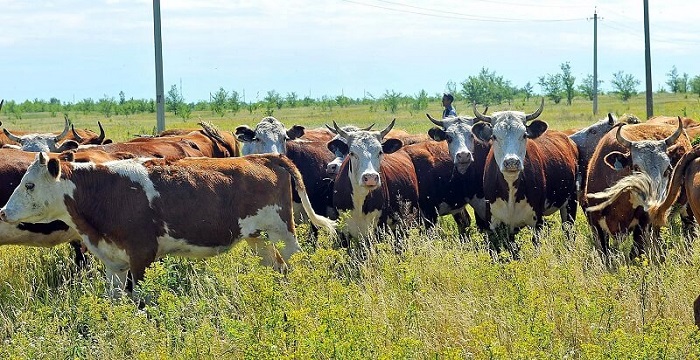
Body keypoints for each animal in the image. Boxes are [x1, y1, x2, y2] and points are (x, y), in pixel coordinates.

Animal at [0, 152, 336, 292]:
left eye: (30, 185)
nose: (3, 212)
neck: (104, 191)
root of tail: (265, 156)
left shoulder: (142, 255)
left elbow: (139, 299)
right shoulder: (114, 263)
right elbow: (115, 299)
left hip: (282, 230)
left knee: (293, 259)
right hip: (258, 238)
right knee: (277, 264)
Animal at [470, 99, 580, 253]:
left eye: (524, 135)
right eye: (494, 136)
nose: (511, 162)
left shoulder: (537, 222)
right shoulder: (494, 224)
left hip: (571, 201)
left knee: (568, 230)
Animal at [580, 119, 688, 260]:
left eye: (668, 170)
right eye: (636, 168)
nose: (655, 204)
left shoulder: (642, 224)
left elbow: (635, 252)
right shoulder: (596, 224)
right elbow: (605, 254)